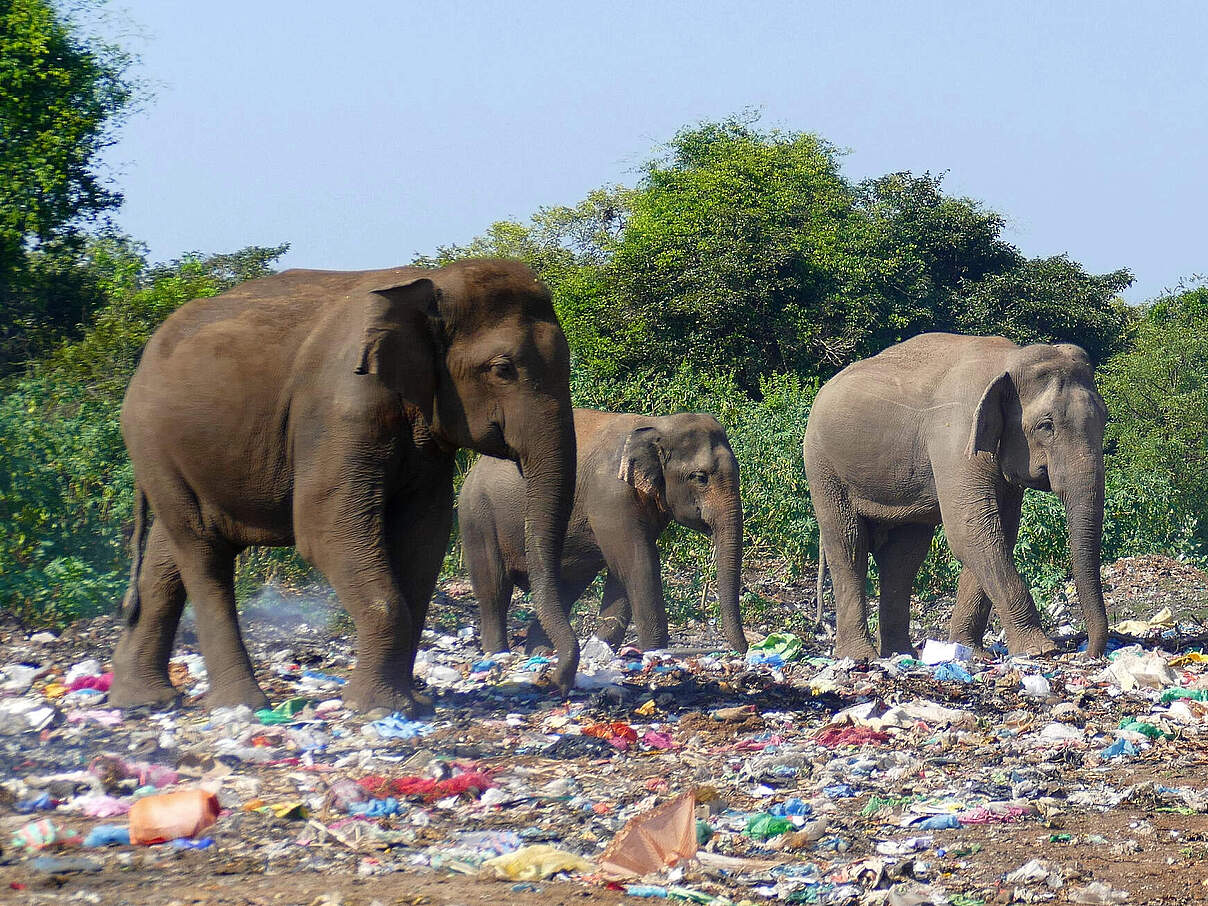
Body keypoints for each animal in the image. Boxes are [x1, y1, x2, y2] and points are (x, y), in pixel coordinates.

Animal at [112, 257, 579, 715]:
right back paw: (239, 704)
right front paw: (376, 709)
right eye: (503, 369)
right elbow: (324, 530)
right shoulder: (342, 408)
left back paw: (144, 700)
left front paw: (413, 704)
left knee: (168, 550)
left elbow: (424, 536)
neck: (432, 282)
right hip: (152, 441)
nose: (553, 682)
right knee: (203, 550)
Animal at [459, 413, 748, 661]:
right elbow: (638, 563)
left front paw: (601, 651)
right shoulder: (609, 495)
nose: (743, 650)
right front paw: (654, 652)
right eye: (700, 477)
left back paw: (540, 653)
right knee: (494, 590)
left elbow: (623, 570)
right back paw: (499, 654)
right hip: (478, 517)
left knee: (565, 588)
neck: (658, 424)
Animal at [806, 333, 1106, 661]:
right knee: (849, 546)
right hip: (823, 466)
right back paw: (862, 657)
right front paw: (1040, 651)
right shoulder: (954, 435)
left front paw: (971, 652)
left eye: (1105, 420)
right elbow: (971, 532)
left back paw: (901, 654)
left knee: (903, 556)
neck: (1009, 359)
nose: (1086, 654)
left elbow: (996, 533)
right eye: (1046, 426)